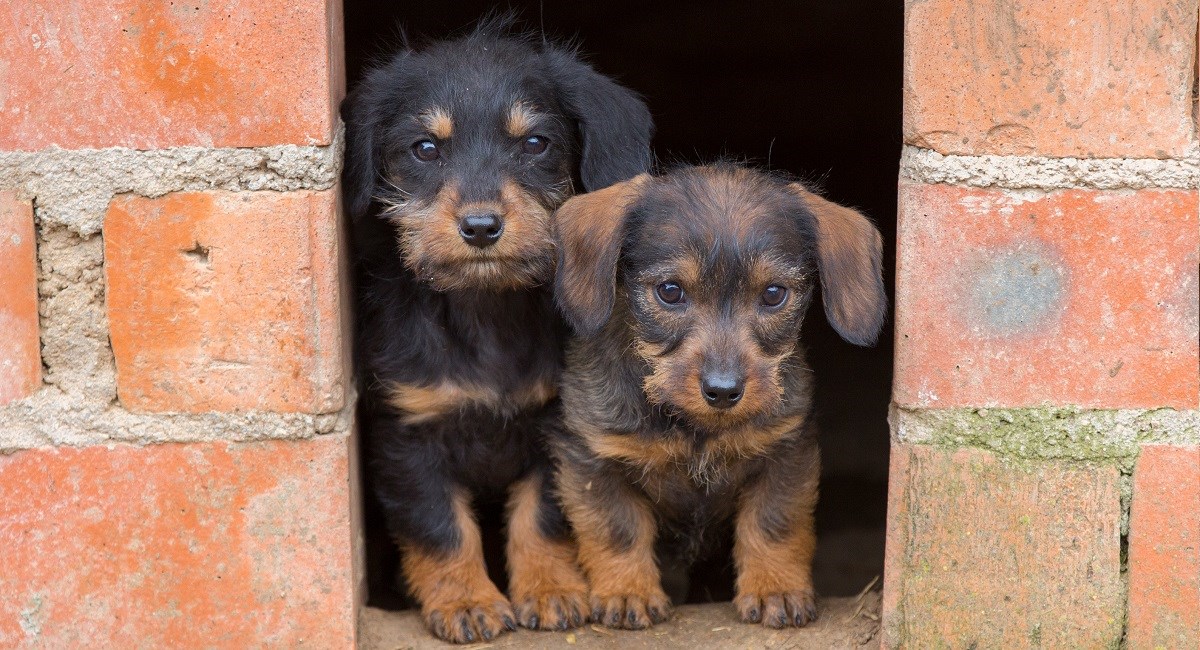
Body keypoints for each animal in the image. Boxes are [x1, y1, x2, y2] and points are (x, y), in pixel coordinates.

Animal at [338, 19, 657, 642]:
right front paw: (466, 602)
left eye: (534, 144)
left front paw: (552, 591)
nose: (481, 226)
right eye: (426, 148)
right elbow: (440, 527)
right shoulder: (409, 436)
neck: (486, 310)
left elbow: (543, 517)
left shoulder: (557, 426)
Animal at [549, 165, 888, 633]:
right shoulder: (592, 457)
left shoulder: (787, 452)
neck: (694, 429)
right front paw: (627, 592)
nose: (723, 390)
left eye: (774, 294)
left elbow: (772, 523)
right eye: (670, 291)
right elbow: (617, 528)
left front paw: (775, 589)